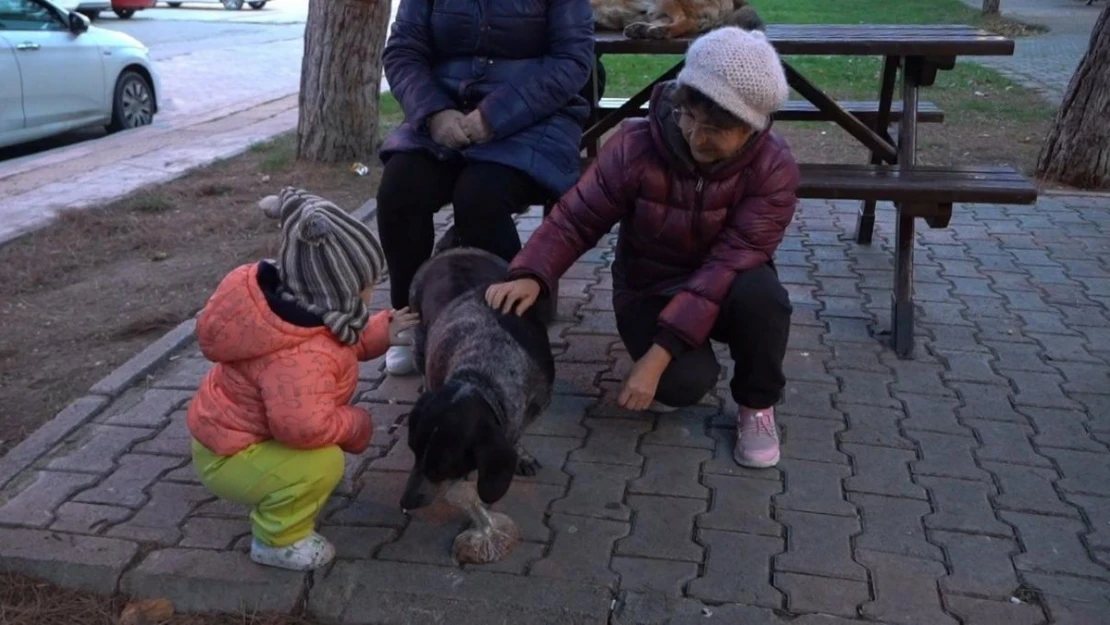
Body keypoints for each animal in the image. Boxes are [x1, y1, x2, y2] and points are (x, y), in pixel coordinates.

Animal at [399, 230, 555, 512]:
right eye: (413, 451)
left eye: (441, 466)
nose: (406, 502)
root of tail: (453, 250)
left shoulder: (538, 402)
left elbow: (518, 432)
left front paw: (522, 456)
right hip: (417, 332)